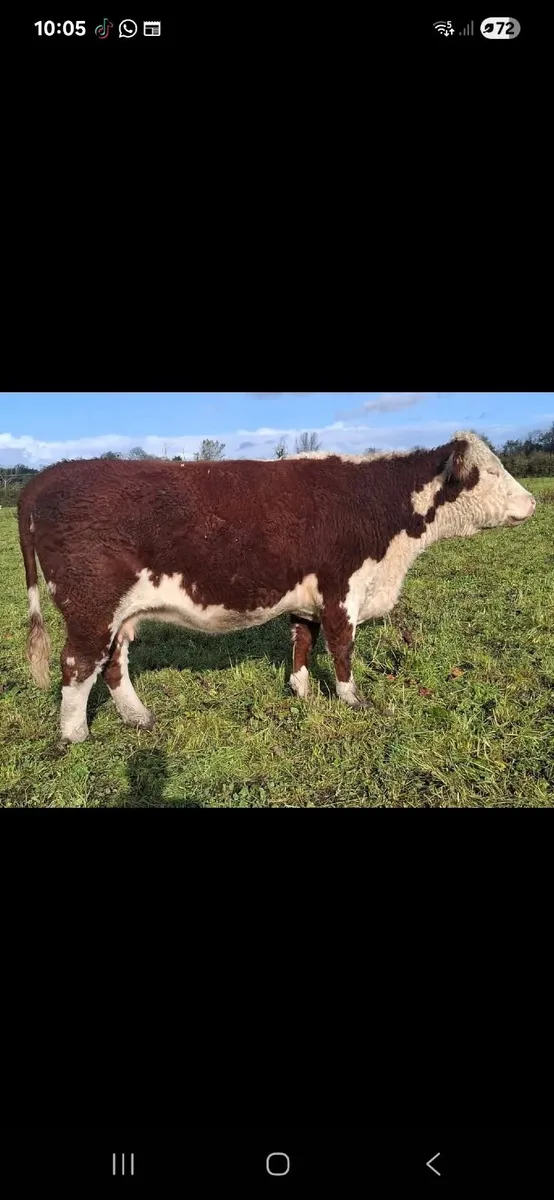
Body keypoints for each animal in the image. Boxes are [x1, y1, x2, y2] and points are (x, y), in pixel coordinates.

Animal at [18, 433, 535, 744]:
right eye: (489, 473)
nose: (532, 502)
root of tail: (50, 475)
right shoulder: (342, 587)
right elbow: (342, 647)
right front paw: (353, 700)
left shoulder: (308, 595)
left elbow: (303, 639)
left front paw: (302, 691)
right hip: (91, 606)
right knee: (78, 664)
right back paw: (75, 736)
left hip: (120, 614)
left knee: (113, 662)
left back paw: (138, 717)